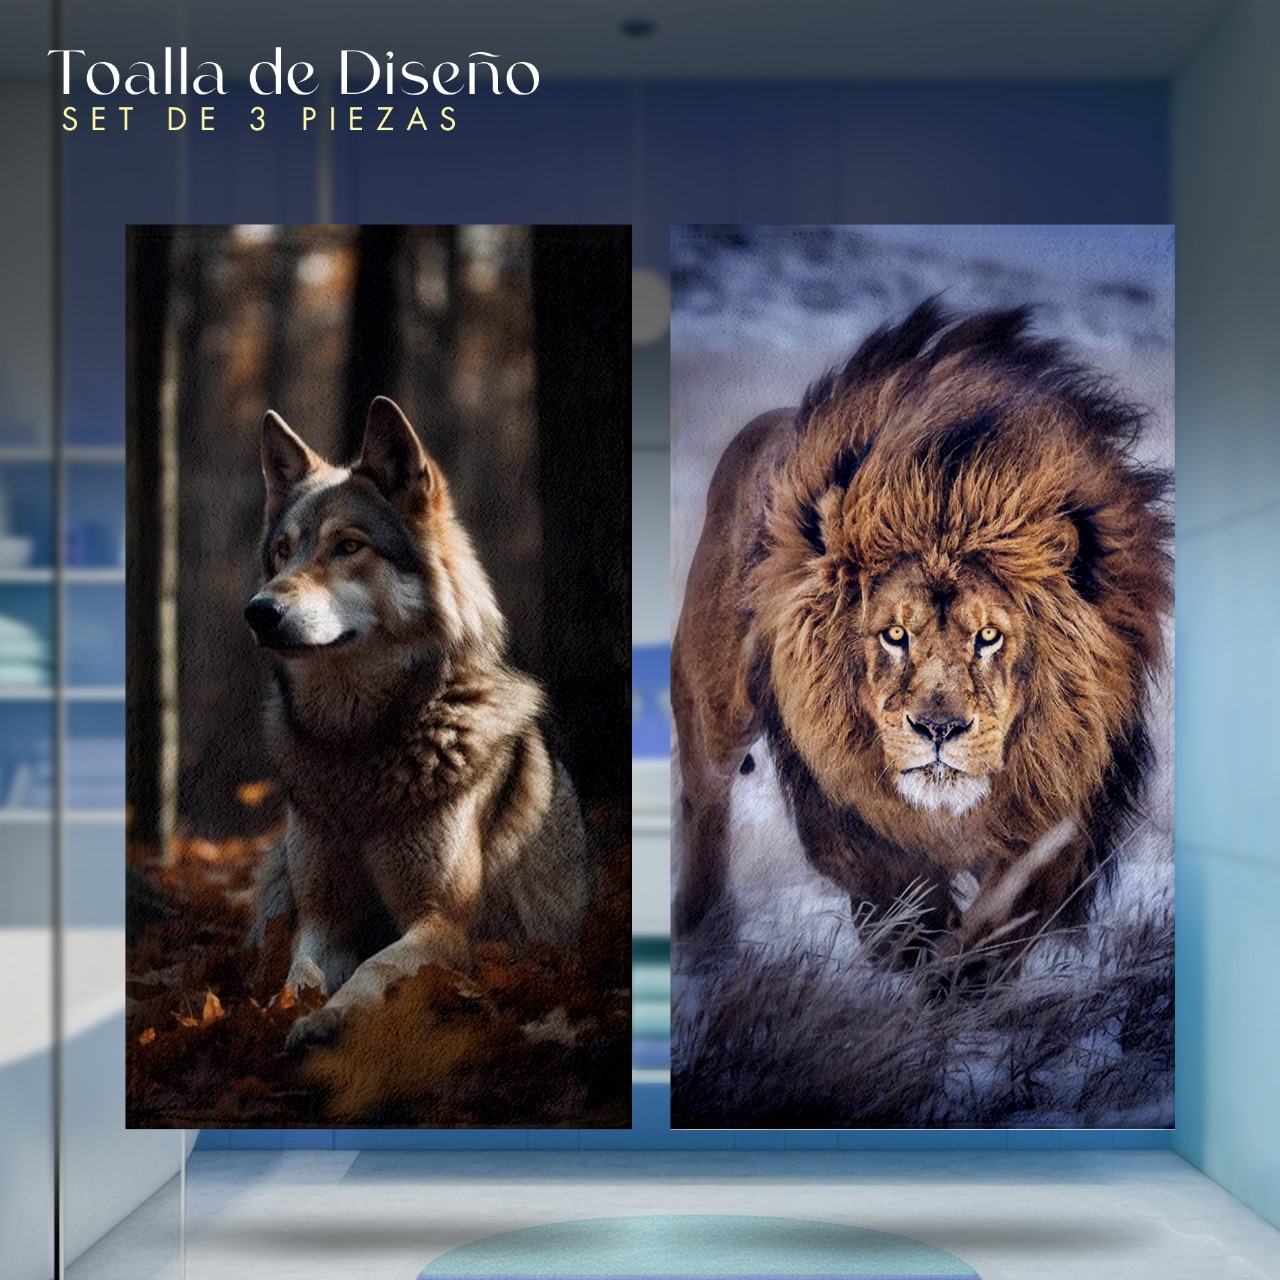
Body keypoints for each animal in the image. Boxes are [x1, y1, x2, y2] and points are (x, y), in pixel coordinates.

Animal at [245, 396, 588, 1051]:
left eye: (349, 546)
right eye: (282, 551)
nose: (259, 611)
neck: (358, 746)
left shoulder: (443, 923)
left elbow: (376, 967)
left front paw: (327, 1019)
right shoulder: (323, 916)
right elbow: (300, 971)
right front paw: (283, 1011)